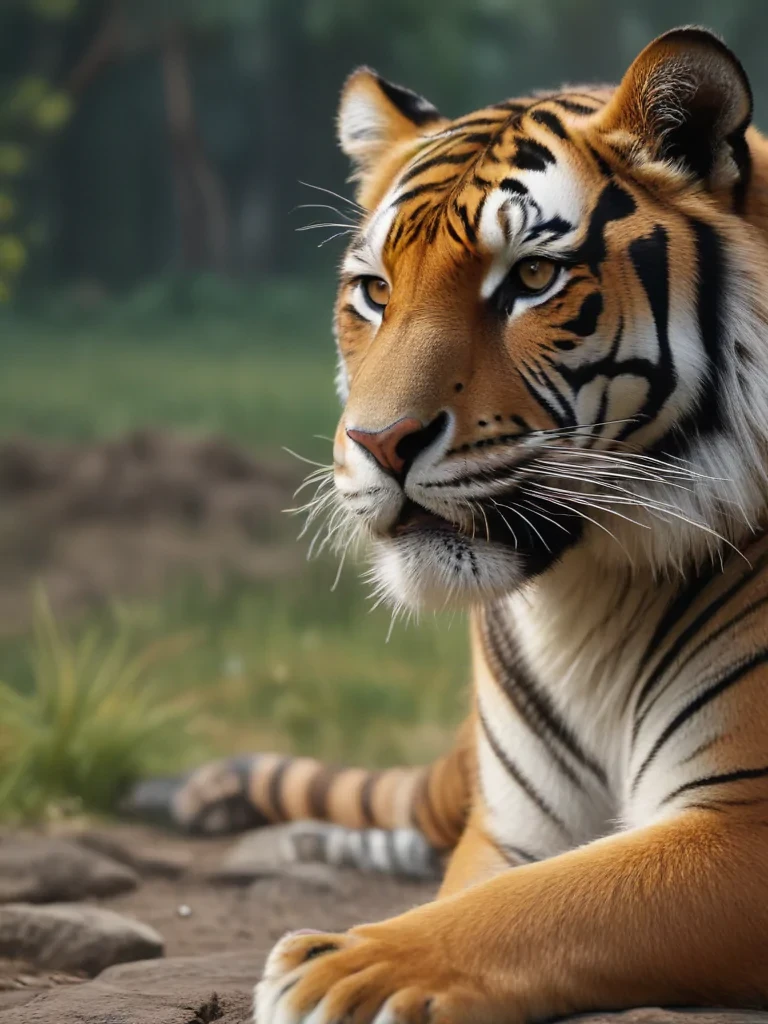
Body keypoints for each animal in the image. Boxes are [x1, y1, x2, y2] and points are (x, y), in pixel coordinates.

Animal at [133, 25, 768, 1022]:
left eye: (534, 278)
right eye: (374, 290)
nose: (378, 441)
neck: (589, 602)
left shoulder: (743, 822)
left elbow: (557, 903)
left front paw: (346, 968)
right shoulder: (508, 828)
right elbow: (488, 890)